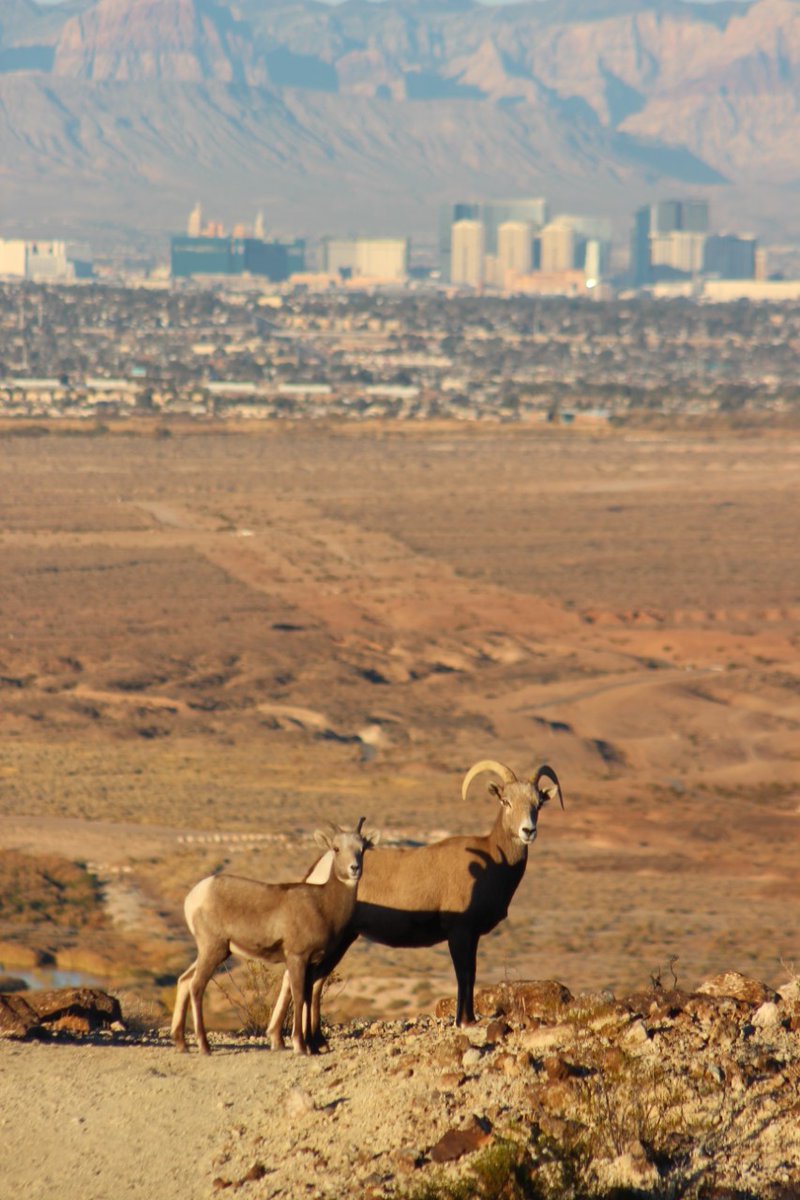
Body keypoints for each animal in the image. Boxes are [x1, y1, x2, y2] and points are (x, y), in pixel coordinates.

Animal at [171, 817, 377, 1055]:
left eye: (362, 849)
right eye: (336, 848)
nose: (355, 869)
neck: (323, 904)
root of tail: (195, 896)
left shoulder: (311, 963)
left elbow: (307, 997)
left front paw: (312, 1048)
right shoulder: (297, 958)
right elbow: (298, 997)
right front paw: (299, 1046)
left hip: (212, 952)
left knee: (184, 980)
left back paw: (182, 1044)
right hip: (214, 950)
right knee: (196, 986)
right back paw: (204, 1047)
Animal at [268, 759, 563, 1043]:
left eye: (538, 804)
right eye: (506, 801)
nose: (528, 831)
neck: (494, 862)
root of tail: (320, 867)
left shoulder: (471, 936)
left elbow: (471, 973)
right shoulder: (460, 933)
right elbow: (464, 974)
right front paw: (464, 1021)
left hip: (343, 940)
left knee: (313, 981)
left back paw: (308, 1037)